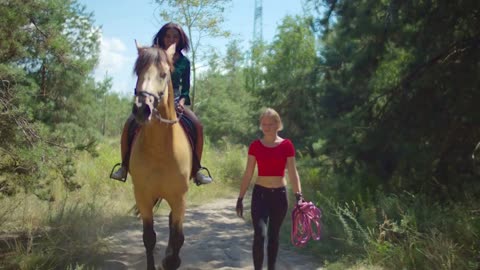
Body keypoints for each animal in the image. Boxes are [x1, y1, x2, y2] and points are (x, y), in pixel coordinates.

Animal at [130, 40, 194, 270]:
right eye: (138, 71)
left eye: (164, 74)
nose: (142, 109)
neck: (160, 149)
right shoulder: (143, 196)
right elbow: (149, 237)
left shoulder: (180, 198)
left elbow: (178, 237)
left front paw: (171, 260)